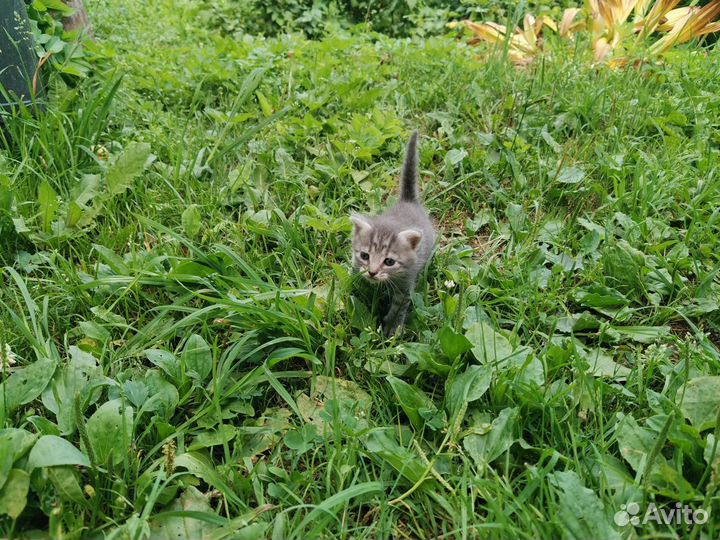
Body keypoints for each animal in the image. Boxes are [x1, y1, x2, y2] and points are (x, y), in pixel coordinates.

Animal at [350, 131, 436, 336]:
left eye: (389, 262)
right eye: (365, 256)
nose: (372, 272)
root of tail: (408, 201)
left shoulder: (406, 285)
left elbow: (399, 308)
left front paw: (391, 328)